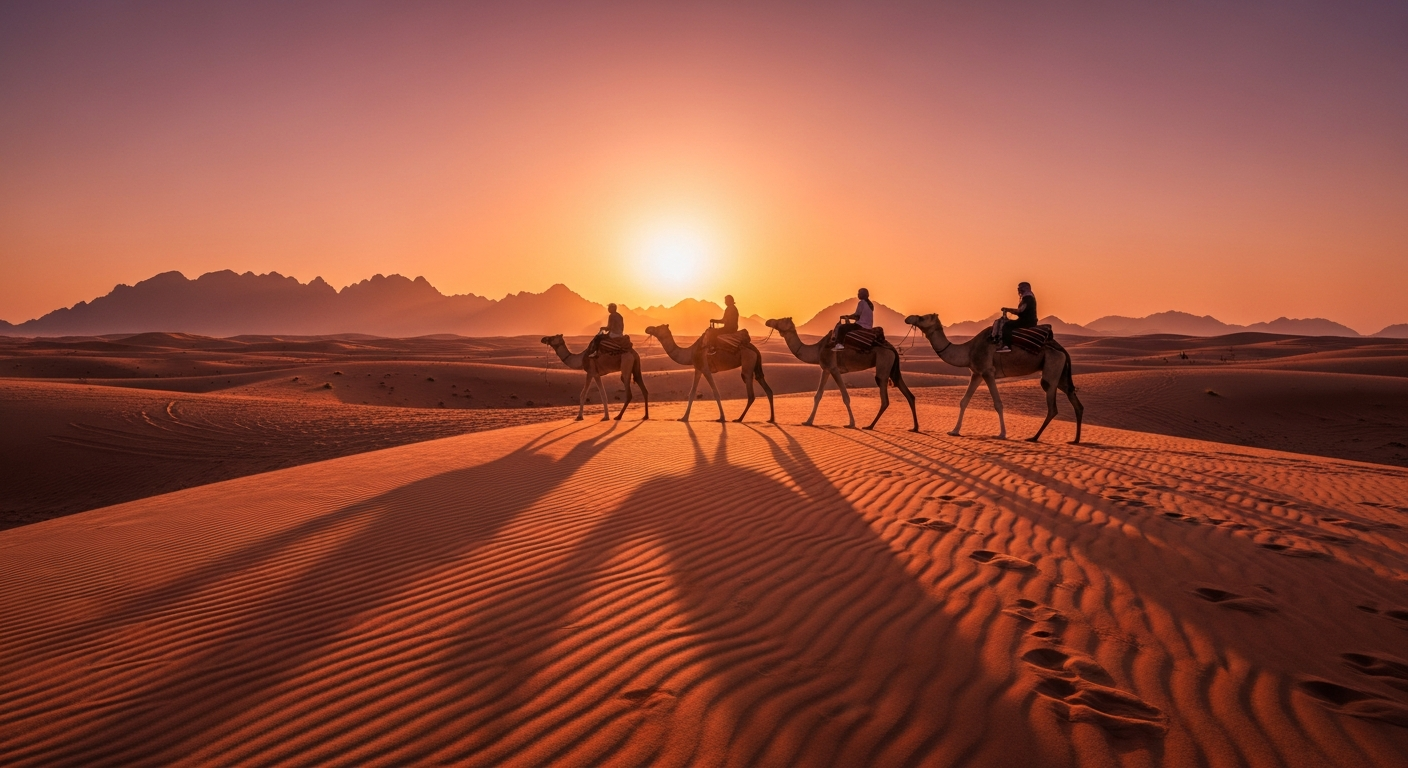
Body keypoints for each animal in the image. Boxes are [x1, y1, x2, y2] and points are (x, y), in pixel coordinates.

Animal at [644, 325, 775, 423]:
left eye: (658, 327)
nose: (648, 328)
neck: (690, 352)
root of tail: (755, 349)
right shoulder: (698, 368)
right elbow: (692, 393)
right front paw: (684, 417)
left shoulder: (705, 368)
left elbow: (715, 392)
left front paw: (722, 417)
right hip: (755, 366)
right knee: (767, 388)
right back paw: (771, 418)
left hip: (748, 363)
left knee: (750, 391)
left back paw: (739, 419)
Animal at [763, 317, 919, 431]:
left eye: (781, 320)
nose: (768, 321)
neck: (818, 349)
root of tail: (892, 348)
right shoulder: (825, 369)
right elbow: (817, 396)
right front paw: (808, 421)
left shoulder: (833, 368)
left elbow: (845, 397)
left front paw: (851, 423)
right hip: (893, 368)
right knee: (908, 394)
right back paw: (915, 427)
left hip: (883, 364)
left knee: (885, 397)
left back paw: (870, 426)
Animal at [904, 314, 1082, 443]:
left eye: (923, 317)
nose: (909, 318)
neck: (968, 350)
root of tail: (1062, 349)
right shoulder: (976, 373)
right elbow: (964, 401)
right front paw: (954, 431)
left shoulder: (987, 372)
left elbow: (998, 403)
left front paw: (1002, 434)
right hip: (1061, 373)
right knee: (1074, 399)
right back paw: (1075, 440)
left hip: (1052, 365)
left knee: (1052, 404)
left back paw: (1034, 437)